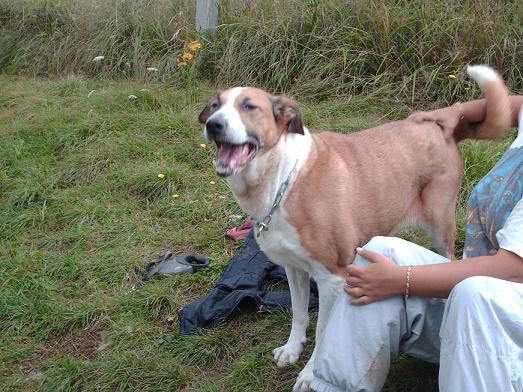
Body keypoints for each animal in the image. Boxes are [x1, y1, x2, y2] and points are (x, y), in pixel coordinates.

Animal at [198, 66, 512, 390]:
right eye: (215, 105)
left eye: (249, 106)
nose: (213, 124)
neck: (282, 179)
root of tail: (438, 126)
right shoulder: (294, 268)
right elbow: (299, 314)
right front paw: (292, 348)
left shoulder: (332, 278)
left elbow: (323, 332)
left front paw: (309, 374)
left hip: (439, 224)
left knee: (449, 260)